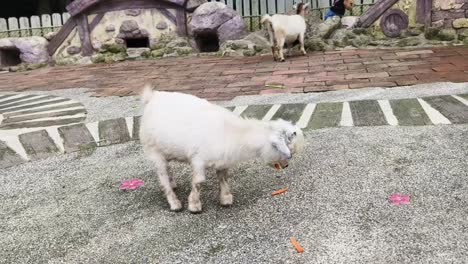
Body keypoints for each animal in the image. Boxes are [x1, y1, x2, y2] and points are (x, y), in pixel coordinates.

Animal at [139, 86, 306, 212]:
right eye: (289, 152)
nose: (286, 165)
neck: (232, 132)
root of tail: (152, 97)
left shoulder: (223, 160)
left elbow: (224, 178)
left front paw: (225, 199)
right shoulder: (198, 159)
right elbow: (199, 182)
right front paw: (194, 205)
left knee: (168, 169)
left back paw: (173, 183)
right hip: (153, 150)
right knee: (162, 175)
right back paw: (174, 202)